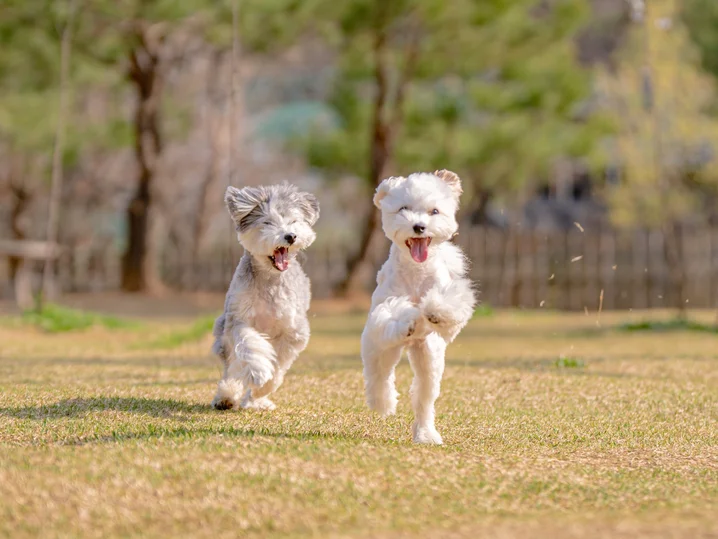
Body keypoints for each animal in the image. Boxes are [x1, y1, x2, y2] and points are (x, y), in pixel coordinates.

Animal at [210, 184, 320, 412]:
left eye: (293, 221)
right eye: (267, 222)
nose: (290, 236)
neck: (270, 278)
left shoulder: (293, 331)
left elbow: (278, 367)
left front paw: (262, 389)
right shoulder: (238, 319)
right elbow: (249, 345)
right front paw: (259, 372)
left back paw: (255, 400)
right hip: (223, 334)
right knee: (232, 367)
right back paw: (226, 396)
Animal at [362, 171, 476, 446]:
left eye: (434, 211)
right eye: (403, 209)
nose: (419, 226)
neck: (415, 269)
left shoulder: (449, 302)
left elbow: (448, 306)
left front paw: (434, 311)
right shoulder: (382, 310)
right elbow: (392, 314)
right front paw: (408, 319)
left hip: (429, 358)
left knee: (424, 398)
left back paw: (425, 433)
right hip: (379, 347)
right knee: (379, 376)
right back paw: (383, 402)